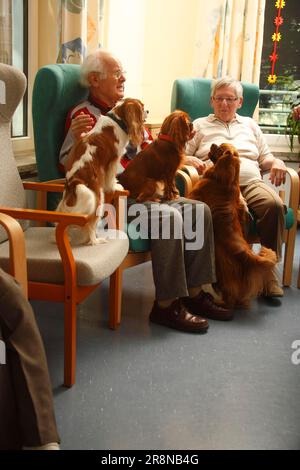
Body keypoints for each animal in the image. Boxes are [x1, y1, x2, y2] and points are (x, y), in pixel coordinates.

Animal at [56, 99, 146, 246]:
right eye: (142, 108)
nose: (148, 110)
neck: (117, 120)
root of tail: (74, 182)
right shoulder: (113, 161)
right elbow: (111, 177)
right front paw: (115, 186)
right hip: (98, 197)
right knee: (91, 225)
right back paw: (96, 240)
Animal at [190, 143, 276, 308]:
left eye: (219, 149)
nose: (213, 144)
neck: (226, 181)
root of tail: (248, 255)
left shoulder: (194, 194)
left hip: (223, 272)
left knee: (230, 295)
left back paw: (220, 303)